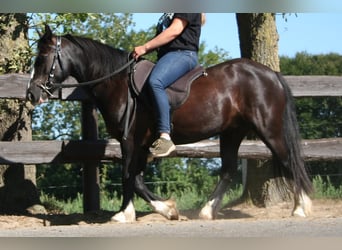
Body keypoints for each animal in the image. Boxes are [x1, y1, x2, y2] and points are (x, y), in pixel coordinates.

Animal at [26, 24, 312, 222]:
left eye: (41, 58)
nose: (31, 93)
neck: (118, 84)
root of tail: (271, 74)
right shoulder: (140, 145)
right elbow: (137, 179)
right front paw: (167, 209)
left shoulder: (130, 141)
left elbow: (129, 177)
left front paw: (127, 213)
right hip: (232, 132)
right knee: (229, 169)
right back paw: (207, 211)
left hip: (269, 130)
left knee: (290, 161)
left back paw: (301, 207)